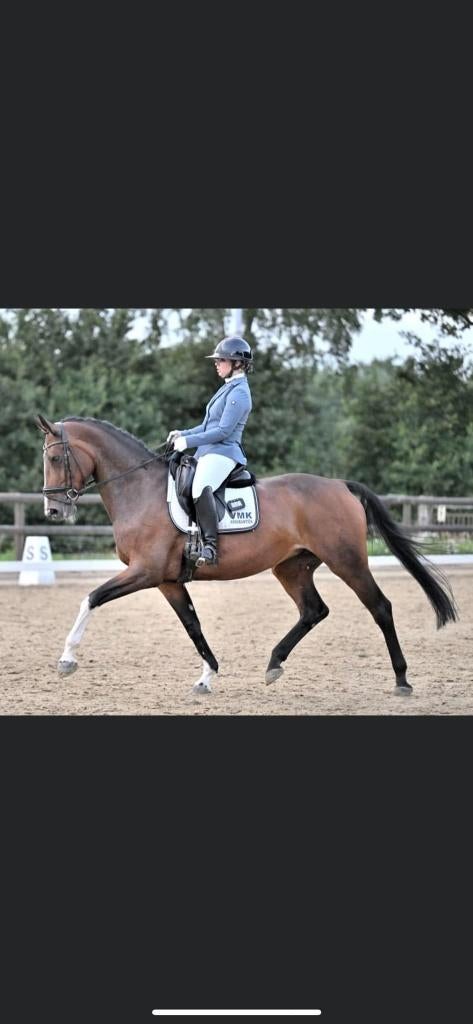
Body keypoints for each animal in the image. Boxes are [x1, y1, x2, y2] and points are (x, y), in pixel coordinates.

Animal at [36, 413, 458, 696]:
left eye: (55, 459)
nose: (54, 511)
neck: (139, 490)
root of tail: (340, 485)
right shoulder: (168, 581)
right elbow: (193, 625)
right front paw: (206, 676)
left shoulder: (146, 572)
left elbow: (91, 598)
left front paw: (67, 660)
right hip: (291, 568)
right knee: (313, 610)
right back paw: (273, 664)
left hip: (347, 561)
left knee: (380, 607)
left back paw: (402, 680)